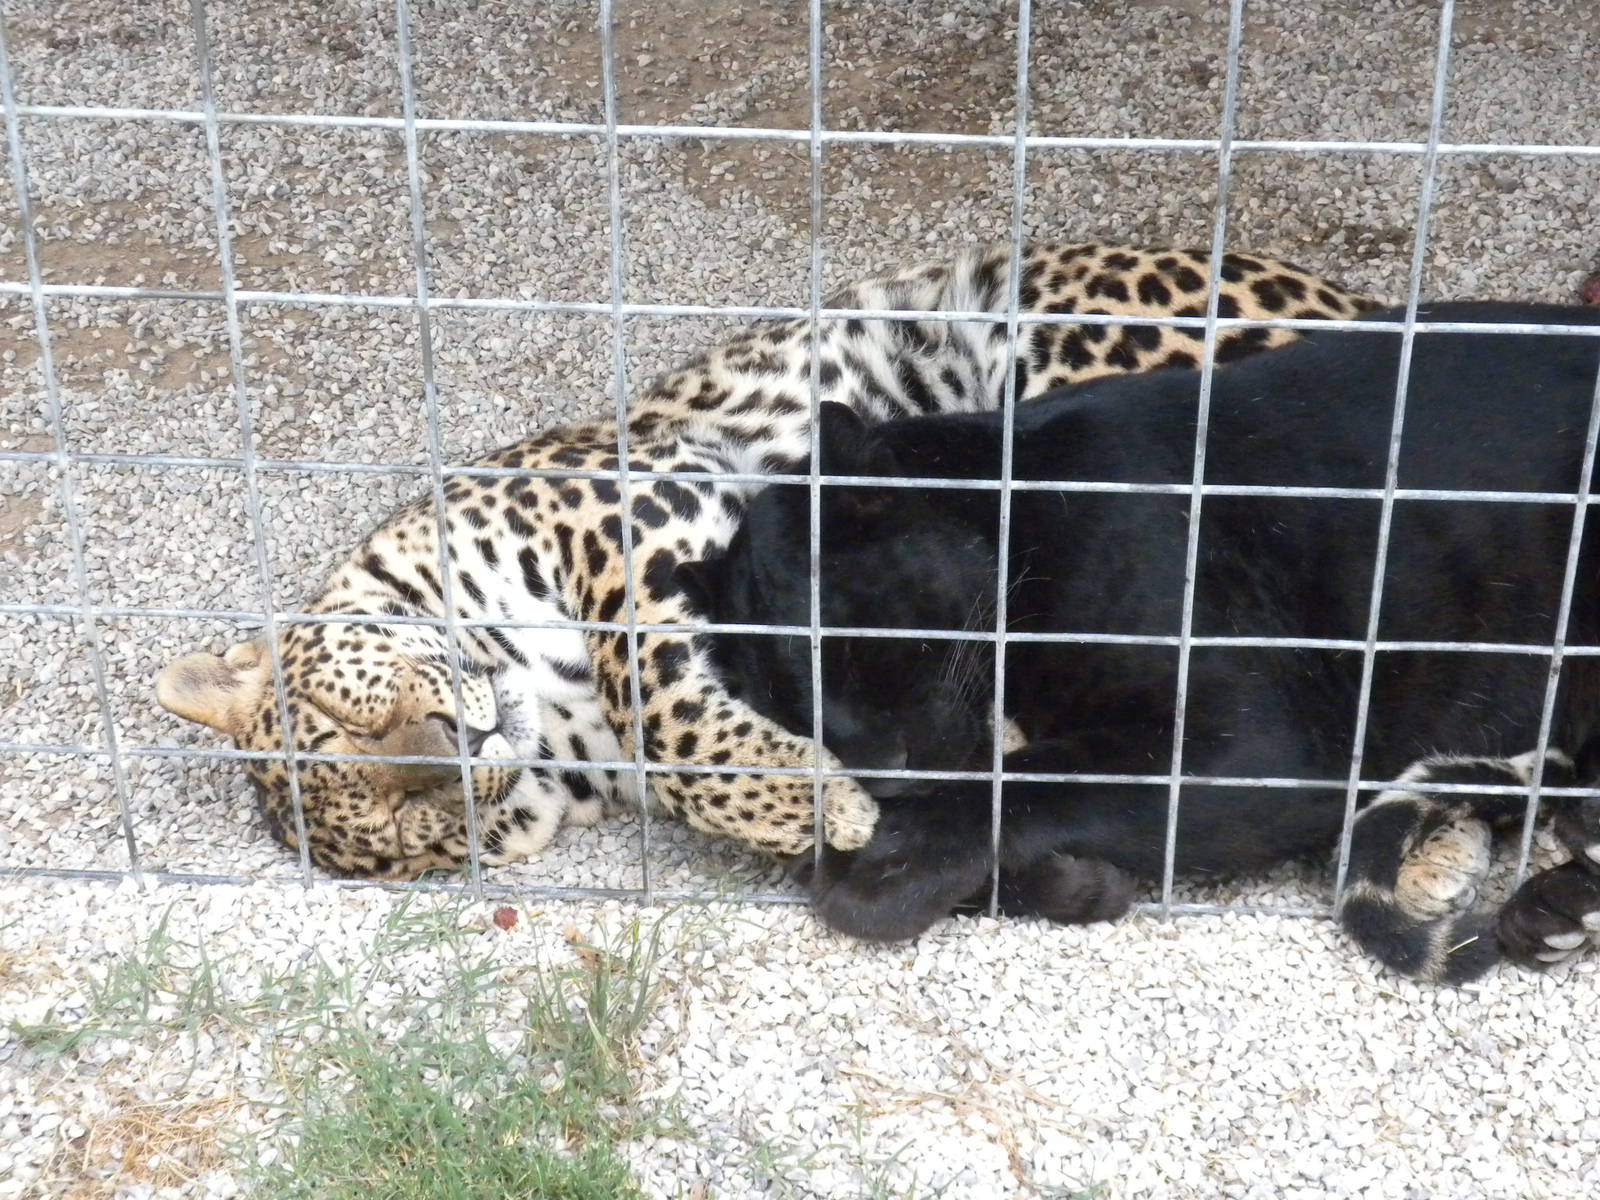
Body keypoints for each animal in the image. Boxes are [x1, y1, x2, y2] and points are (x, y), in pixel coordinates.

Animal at [154, 242, 1380, 879]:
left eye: (353, 718)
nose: (459, 747)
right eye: (420, 825)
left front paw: (829, 803)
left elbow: (663, 704)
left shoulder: (646, 509)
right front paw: (822, 800)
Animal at [677, 303, 1600, 984]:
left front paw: (892, 873)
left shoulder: (1253, 739)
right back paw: (1552, 912)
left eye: (855, 633)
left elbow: (1042, 780)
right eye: (785, 700)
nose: (882, 773)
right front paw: (1071, 885)